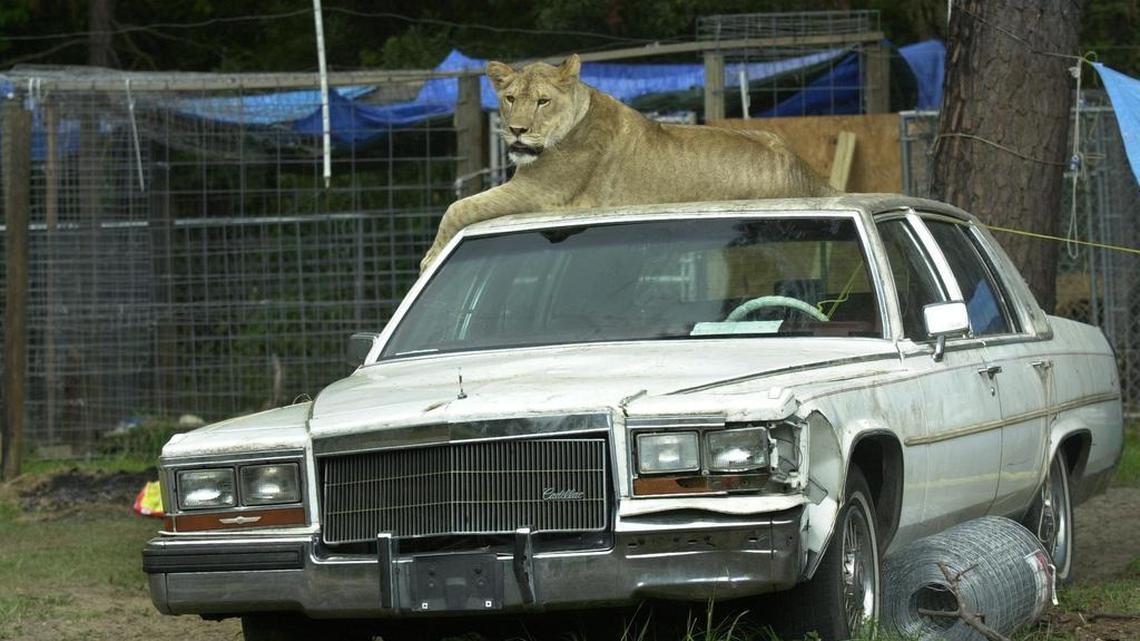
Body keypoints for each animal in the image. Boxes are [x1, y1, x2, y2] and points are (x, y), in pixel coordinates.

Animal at [420, 54, 836, 271]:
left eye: (542, 101)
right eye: (510, 99)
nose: (516, 130)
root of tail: (811, 174)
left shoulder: (538, 191)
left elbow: (458, 208)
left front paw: (428, 259)